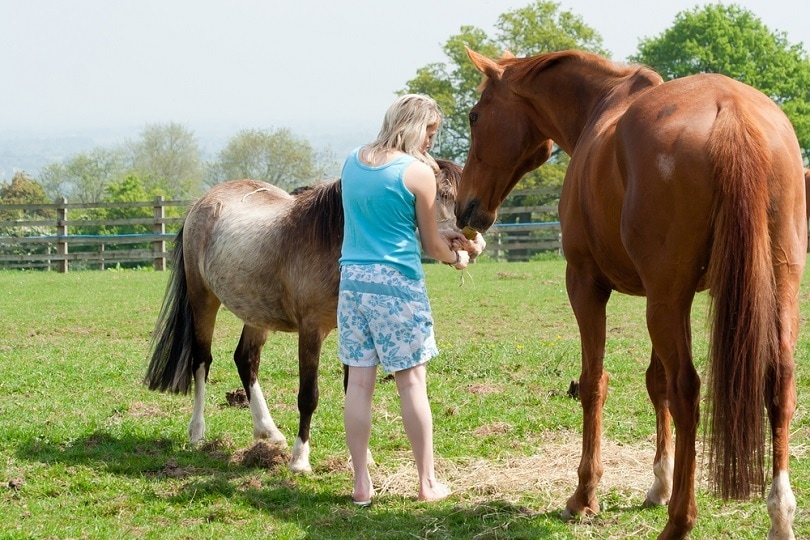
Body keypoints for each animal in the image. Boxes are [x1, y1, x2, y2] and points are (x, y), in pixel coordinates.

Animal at [144, 159, 480, 472]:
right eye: (438, 194)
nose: (470, 247)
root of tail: (201, 203)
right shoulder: (310, 331)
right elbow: (308, 395)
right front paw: (300, 459)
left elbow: (354, 394)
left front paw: (362, 457)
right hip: (203, 301)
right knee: (201, 361)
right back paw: (197, 433)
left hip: (256, 313)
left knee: (245, 359)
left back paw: (268, 431)